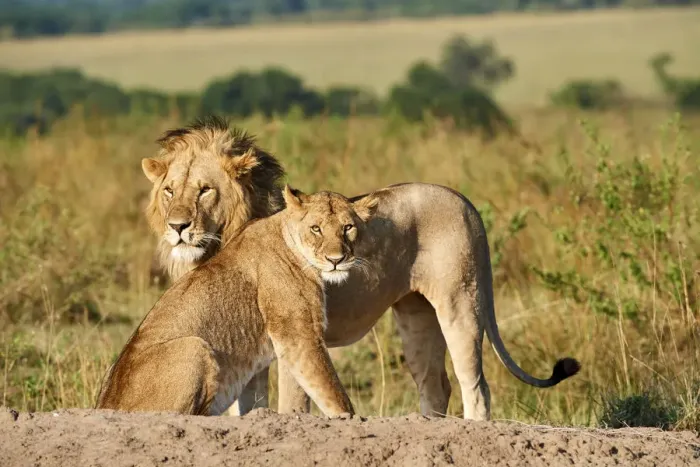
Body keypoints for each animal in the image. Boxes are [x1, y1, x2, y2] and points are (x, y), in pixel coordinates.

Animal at [96, 185, 378, 416]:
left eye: (348, 228)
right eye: (316, 228)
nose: (336, 259)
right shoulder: (300, 336)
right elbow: (333, 393)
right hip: (194, 345)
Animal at [142, 116, 580, 421]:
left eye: (205, 190)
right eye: (169, 191)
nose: (178, 227)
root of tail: (464, 201)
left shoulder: (292, 340)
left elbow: (291, 405)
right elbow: (248, 407)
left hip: (460, 303)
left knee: (476, 386)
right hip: (416, 316)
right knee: (436, 386)